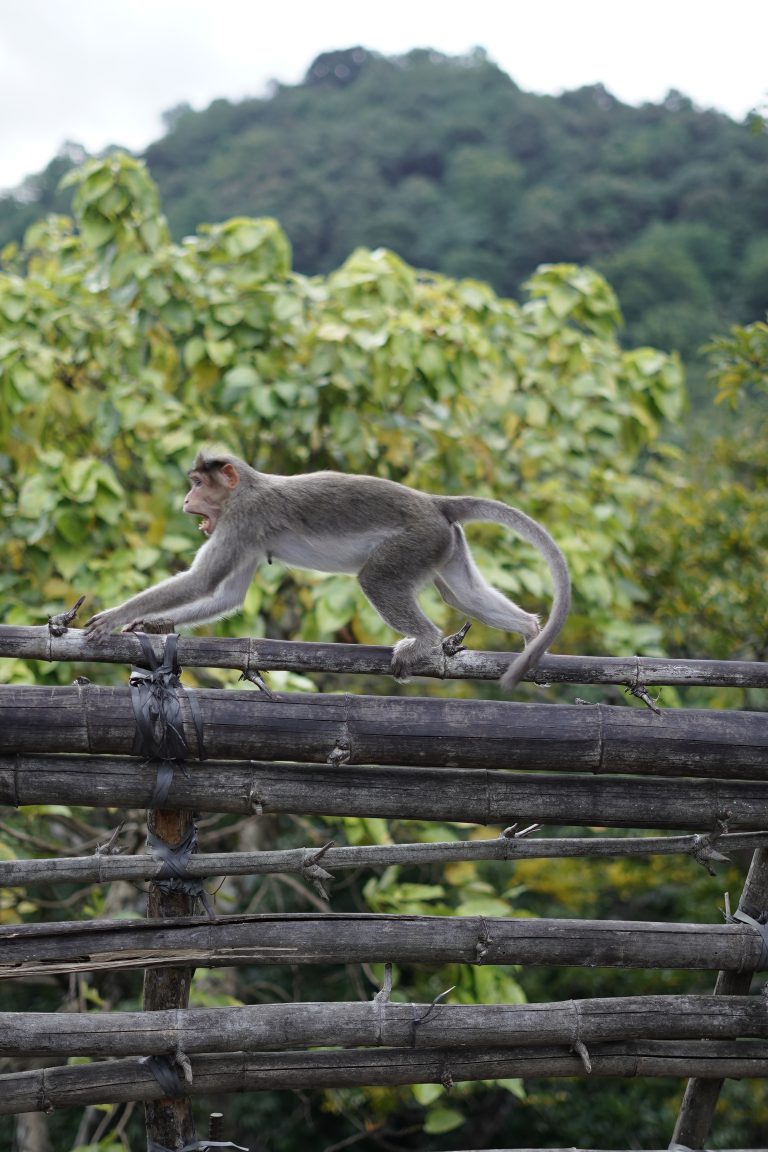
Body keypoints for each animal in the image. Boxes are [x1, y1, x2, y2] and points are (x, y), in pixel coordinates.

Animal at [85, 446, 571, 681]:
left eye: (199, 484)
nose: (187, 501)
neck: (246, 488)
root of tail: (434, 502)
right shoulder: (246, 534)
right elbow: (227, 595)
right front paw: (152, 625)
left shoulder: (244, 519)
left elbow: (203, 580)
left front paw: (115, 616)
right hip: (443, 542)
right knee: (462, 594)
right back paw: (531, 631)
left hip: (415, 540)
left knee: (377, 580)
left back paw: (426, 642)